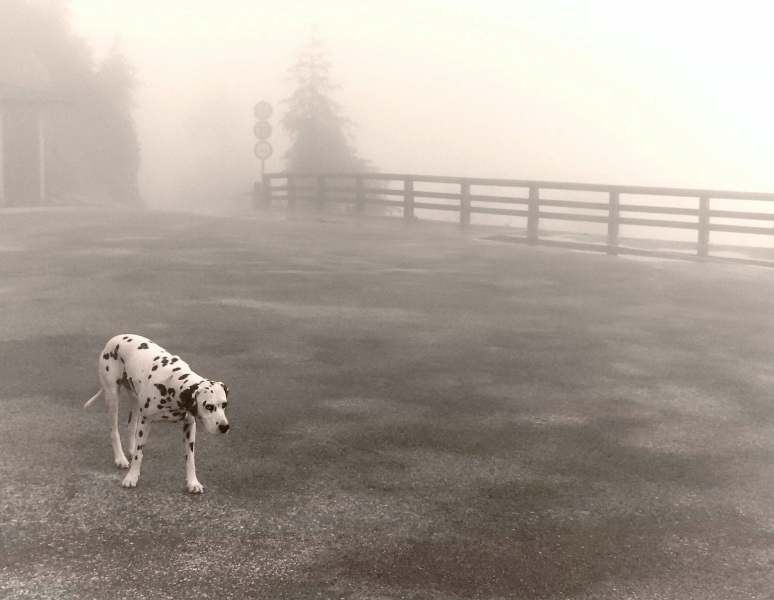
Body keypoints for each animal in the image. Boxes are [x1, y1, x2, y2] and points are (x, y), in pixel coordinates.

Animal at [85, 332, 230, 492]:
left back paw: (131, 450)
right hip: (112, 397)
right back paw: (120, 458)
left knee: (131, 427)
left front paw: (193, 482)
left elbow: (190, 458)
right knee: (114, 431)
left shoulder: (190, 426)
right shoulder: (145, 421)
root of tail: (115, 338)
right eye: (208, 406)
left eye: (224, 404)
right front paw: (131, 477)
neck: (172, 385)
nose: (224, 427)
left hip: (135, 401)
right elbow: (138, 456)